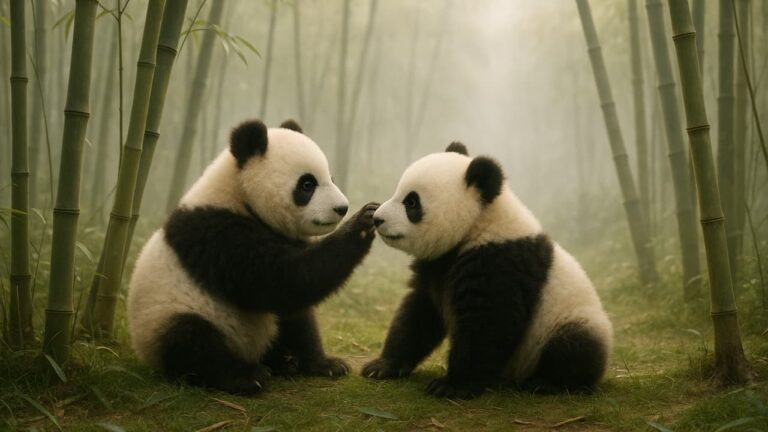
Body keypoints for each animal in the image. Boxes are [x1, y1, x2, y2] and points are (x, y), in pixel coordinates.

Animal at [127, 119, 378, 394]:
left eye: (330, 178)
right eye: (307, 184)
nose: (342, 208)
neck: (238, 194)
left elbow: (296, 308)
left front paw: (325, 364)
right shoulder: (218, 235)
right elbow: (282, 281)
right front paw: (361, 222)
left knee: (286, 322)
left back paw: (286, 362)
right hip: (167, 317)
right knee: (192, 340)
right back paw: (245, 376)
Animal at [361, 142, 613, 398]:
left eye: (411, 202)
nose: (377, 219)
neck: (478, 224)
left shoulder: (499, 260)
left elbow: (488, 323)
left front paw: (452, 385)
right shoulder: (437, 264)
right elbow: (418, 312)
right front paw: (382, 366)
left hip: (565, 320)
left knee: (574, 348)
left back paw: (547, 382)